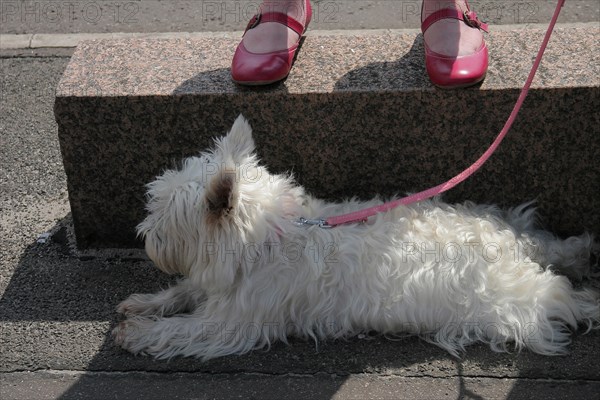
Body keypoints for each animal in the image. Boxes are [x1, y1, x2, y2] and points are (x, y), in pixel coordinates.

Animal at [113, 115, 600, 360]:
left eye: (161, 218)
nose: (144, 236)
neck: (266, 236)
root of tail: (512, 250)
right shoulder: (220, 284)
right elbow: (184, 290)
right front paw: (145, 303)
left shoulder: (234, 322)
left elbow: (183, 330)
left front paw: (137, 334)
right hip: (499, 220)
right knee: (547, 242)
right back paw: (580, 249)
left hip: (516, 305)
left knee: (565, 298)